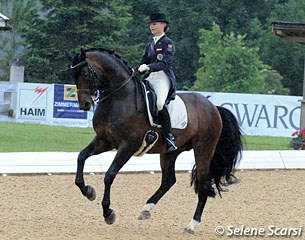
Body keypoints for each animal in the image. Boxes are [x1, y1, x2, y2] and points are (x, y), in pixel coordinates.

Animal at [67, 47, 241, 233]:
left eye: (86, 73)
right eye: (73, 75)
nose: (84, 105)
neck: (119, 97)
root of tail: (213, 107)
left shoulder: (128, 145)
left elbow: (109, 175)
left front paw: (108, 213)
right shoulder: (104, 141)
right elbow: (81, 157)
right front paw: (88, 191)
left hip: (204, 148)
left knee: (203, 183)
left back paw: (192, 224)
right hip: (170, 152)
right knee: (168, 180)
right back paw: (146, 209)